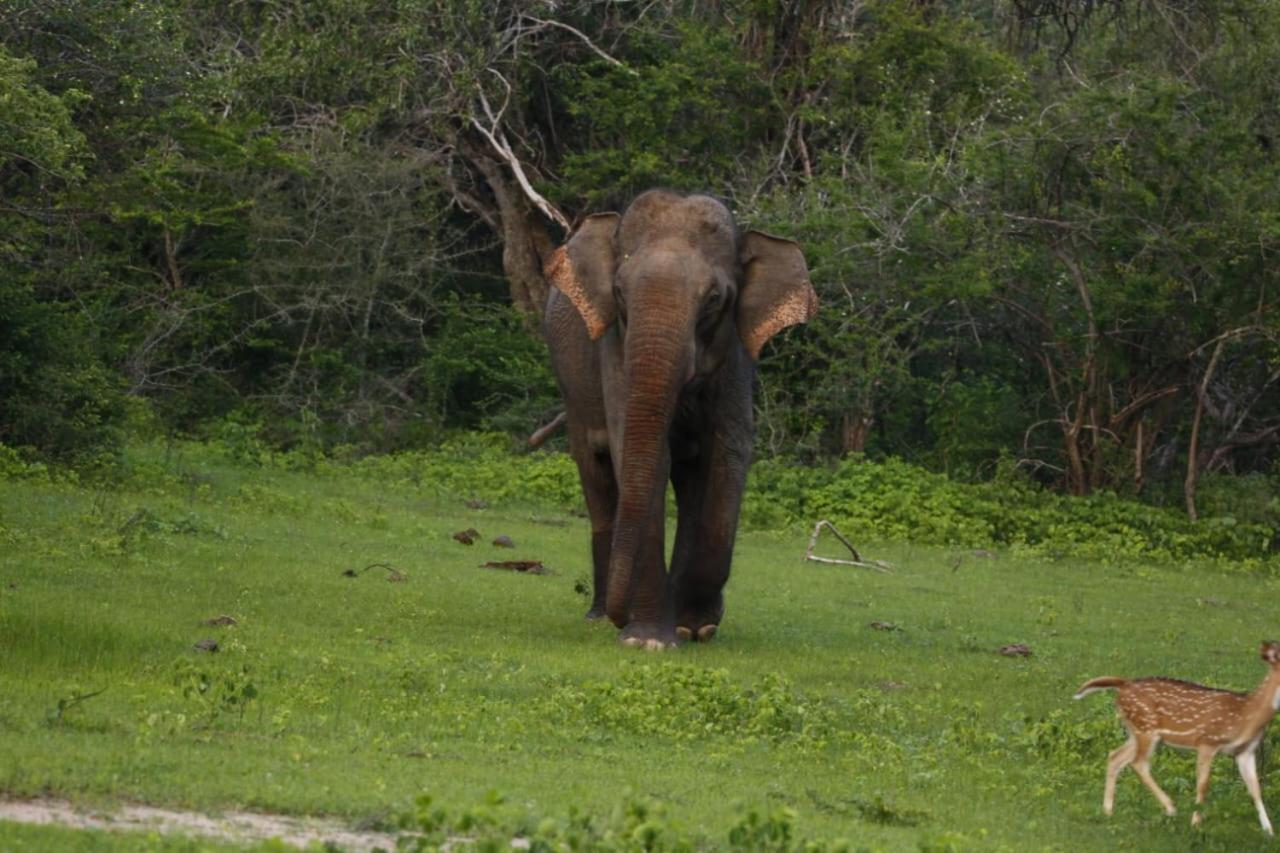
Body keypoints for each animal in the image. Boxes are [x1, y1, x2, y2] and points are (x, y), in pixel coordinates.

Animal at [545, 189, 814, 648]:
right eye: (618, 292)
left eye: (714, 299)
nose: (619, 616)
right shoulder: (614, 349)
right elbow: (636, 453)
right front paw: (647, 639)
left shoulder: (735, 357)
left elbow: (728, 456)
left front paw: (695, 624)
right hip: (573, 394)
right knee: (598, 476)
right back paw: (598, 616)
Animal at [1075, 637, 1280, 829]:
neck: (1246, 715)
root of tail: (1123, 684)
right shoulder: (1207, 740)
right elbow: (1203, 784)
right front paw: (1196, 823)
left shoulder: (1246, 750)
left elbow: (1255, 789)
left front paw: (1269, 830)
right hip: (1146, 728)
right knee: (1138, 763)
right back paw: (1171, 808)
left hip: (1137, 731)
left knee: (1115, 756)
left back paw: (1108, 811)